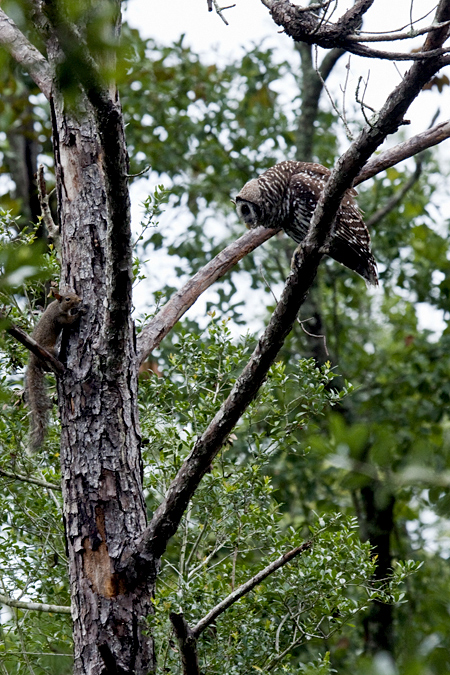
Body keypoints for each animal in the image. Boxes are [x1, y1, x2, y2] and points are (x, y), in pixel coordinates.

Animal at [25, 290, 83, 452]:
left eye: (74, 293)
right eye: (68, 299)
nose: (80, 300)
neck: (57, 306)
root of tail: (33, 361)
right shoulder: (59, 319)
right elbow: (70, 322)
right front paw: (81, 312)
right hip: (51, 351)